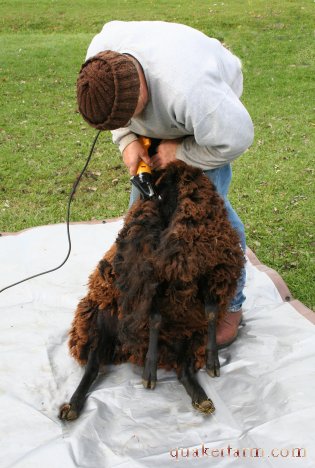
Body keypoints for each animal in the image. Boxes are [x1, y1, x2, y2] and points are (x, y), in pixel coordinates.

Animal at [59, 161, 247, 420]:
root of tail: (126, 350)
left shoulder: (206, 273)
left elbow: (209, 313)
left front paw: (213, 362)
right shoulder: (152, 280)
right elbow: (155, 319)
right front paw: (150, 370)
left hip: (185, 337)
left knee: (183, 370)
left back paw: (201, 399)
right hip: (97, 321)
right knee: (93, 365)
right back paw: (74, 405)